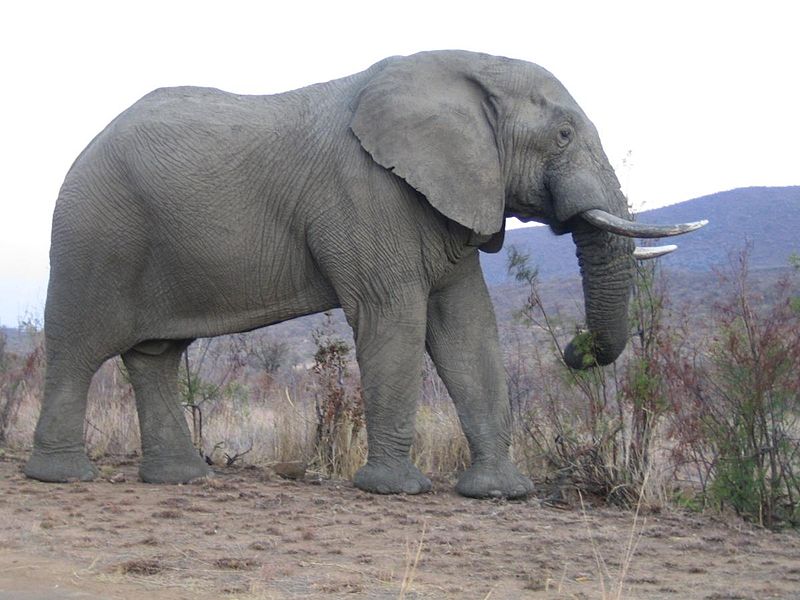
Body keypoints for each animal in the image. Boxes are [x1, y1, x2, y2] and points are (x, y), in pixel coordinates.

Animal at [21, 50, 704, 496]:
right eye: (562, 133)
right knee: (79, 347)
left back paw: (179, 480)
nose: (574, 349)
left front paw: (500, 493)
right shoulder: (367, 192)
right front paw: (395, 490)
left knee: (156, 355)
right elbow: (394, 316)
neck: (463, 73)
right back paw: (63, 477)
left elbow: (467, 327)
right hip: (93, 233)